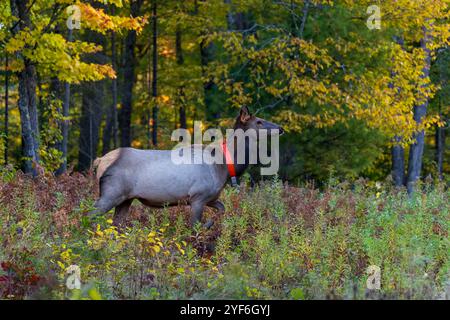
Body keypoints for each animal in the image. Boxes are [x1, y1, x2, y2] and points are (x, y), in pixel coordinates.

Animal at [89, 107, 284, 228]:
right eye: (259, 122)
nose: (281, 128)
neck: (224, 167)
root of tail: (100, 160)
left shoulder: (210, 197)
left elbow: (222, 209)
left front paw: (212, 222)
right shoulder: (198, 196)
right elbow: (195, 226)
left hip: (125, 199)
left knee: (117, 224)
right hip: (111, 192)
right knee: (88, 214)